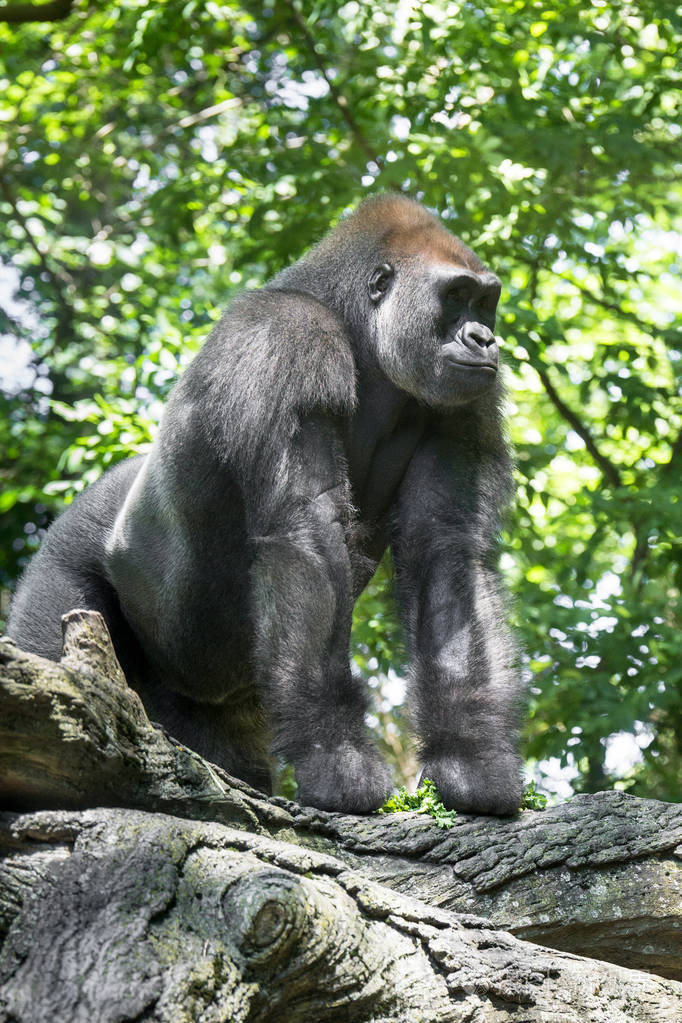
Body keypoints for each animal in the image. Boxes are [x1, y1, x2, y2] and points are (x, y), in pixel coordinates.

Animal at [7, 192, 527, 814]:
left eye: (485, 302)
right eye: (455, 297)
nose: (485, 340)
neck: (355, 325)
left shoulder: (464, 402)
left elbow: (445, 548)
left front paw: (471, 758)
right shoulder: (288, 338)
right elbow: (305, 537)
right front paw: (337, 757)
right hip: (63, 563)